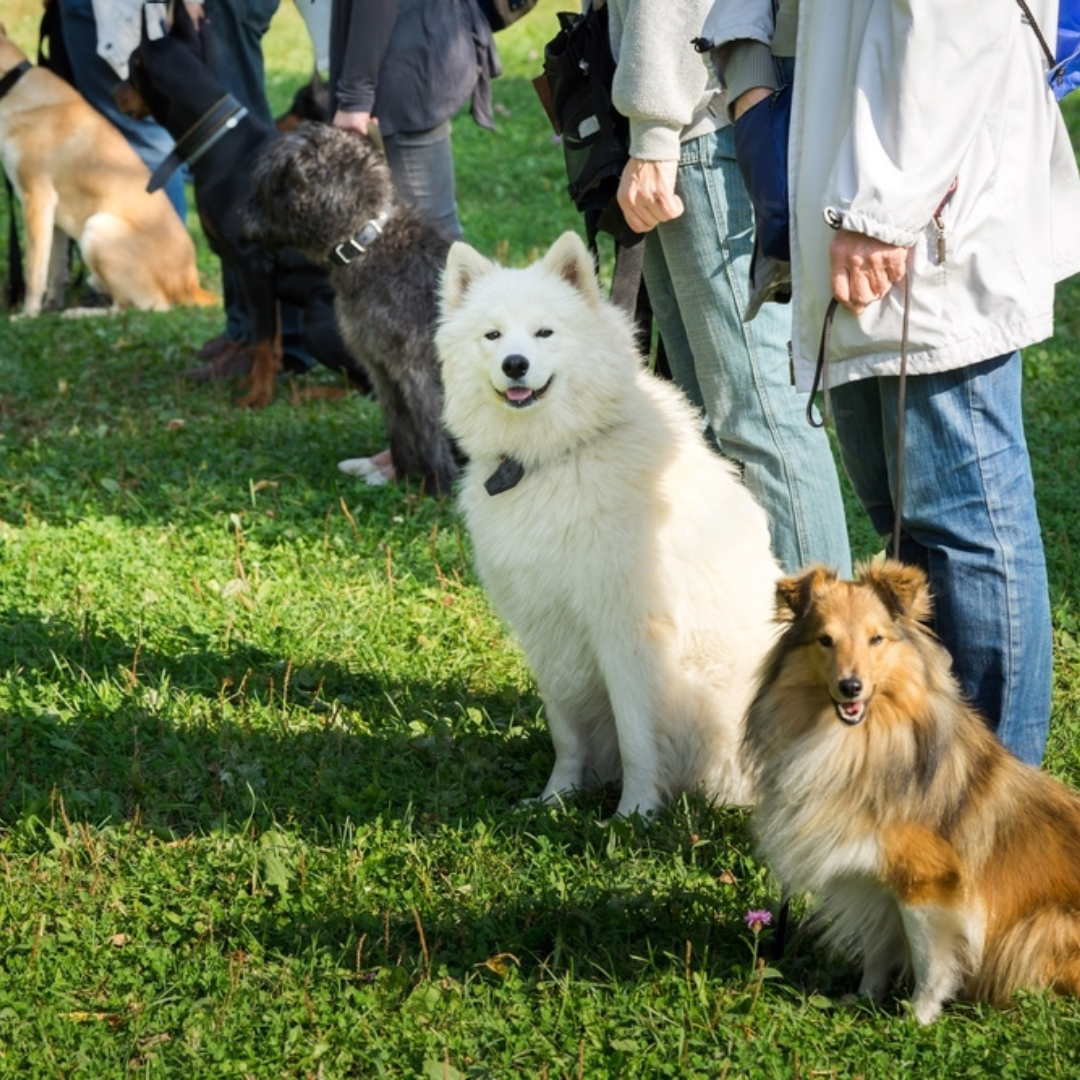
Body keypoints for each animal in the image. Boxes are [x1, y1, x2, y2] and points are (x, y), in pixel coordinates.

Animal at [0, 25, 214, 315]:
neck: (11, 87)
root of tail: (189, 285)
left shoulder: (37, 199)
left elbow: (34, 269)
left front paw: (27, 315)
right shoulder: (53, 213)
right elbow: (55, 269)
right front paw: (50, 307)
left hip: (97, 227)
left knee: (135, 307)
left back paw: (78, 314)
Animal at [243, 124, 457, 494]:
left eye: (267, 186)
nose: (241, 219)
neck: (364, 245)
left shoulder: (419, 372)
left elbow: (433, 429)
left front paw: (439, 486)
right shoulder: (382, 369)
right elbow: (401, 426)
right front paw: (404, 475)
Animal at [438, 232, 786, 812]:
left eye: (545, 332)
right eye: (492, 334)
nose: (515, 364)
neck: (555, 456)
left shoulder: (627, 630)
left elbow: (636, 733)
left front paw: (636, 812)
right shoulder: (547, 626)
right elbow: (566, 733)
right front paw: (555, 799)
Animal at [747, 561, 1080, 1023]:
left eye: (876, 639)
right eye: (825, 640)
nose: (850, 687)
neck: (855, 742)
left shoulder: (928, 886)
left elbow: (930, 961)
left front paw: (916, 1018)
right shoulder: (872, 879)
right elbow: (877, 947)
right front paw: (865, 997)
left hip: (1040, 929)